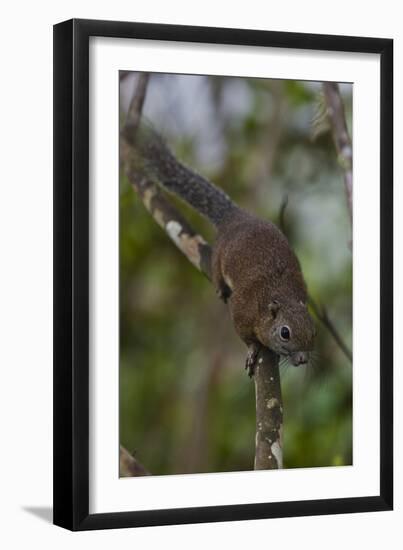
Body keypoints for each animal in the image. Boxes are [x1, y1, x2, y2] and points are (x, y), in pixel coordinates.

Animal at [134, 125, 318, 378]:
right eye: (285, 333)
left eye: (313, 330)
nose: (302, 359)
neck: (280, 294)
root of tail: (236, 217)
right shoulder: (243, 311)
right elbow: (245, 335)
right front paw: (253, 350)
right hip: (219, 255)